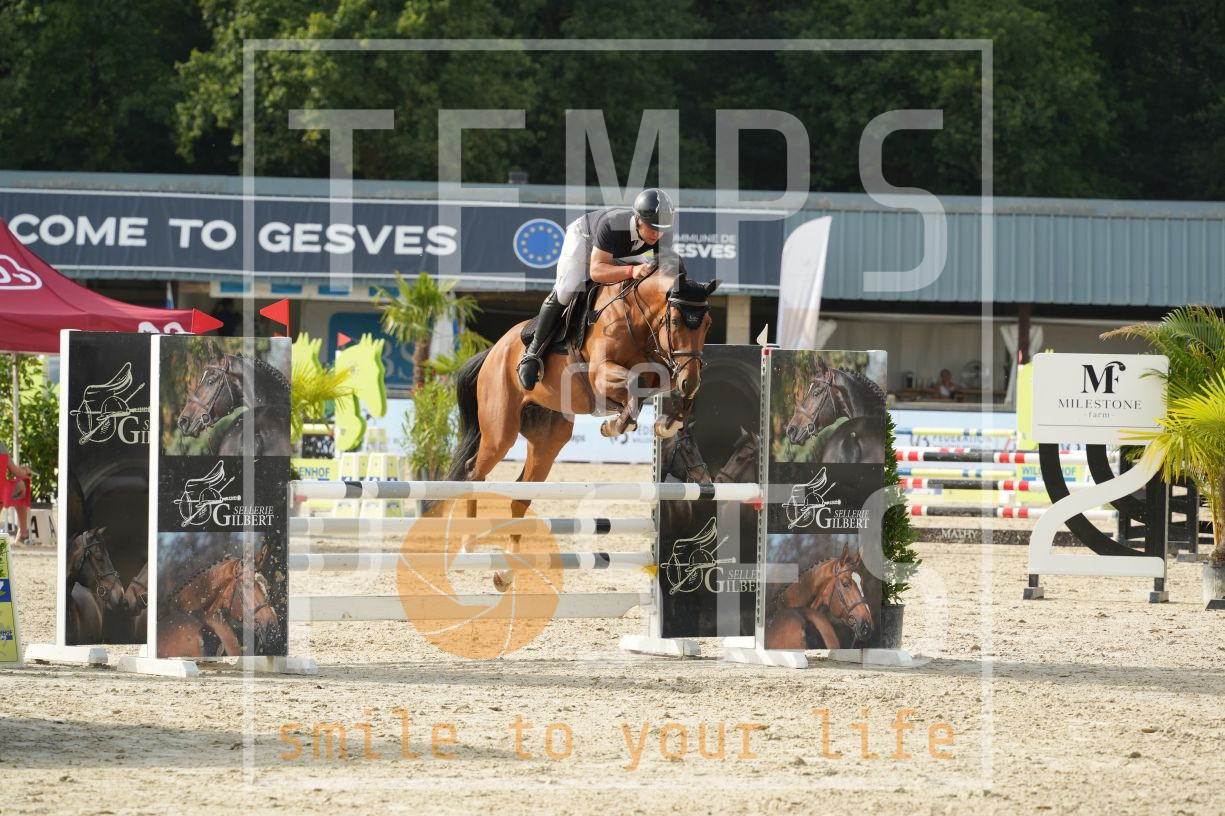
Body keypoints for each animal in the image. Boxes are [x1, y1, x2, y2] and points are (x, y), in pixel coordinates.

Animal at [447, 269, 719, 590]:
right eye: (675, 321)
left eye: (707, 323)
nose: (691, 379)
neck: (637, 318)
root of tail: (494, 350)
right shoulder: (602, 374)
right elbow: (633, 383)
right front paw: (614, 425)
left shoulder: (664, 369)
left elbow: (663, 390)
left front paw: (667, 422)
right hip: (501, 430)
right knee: (473, 471)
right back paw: (469, 542)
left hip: (548, 440)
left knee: (521, 495)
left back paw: (505, 573)